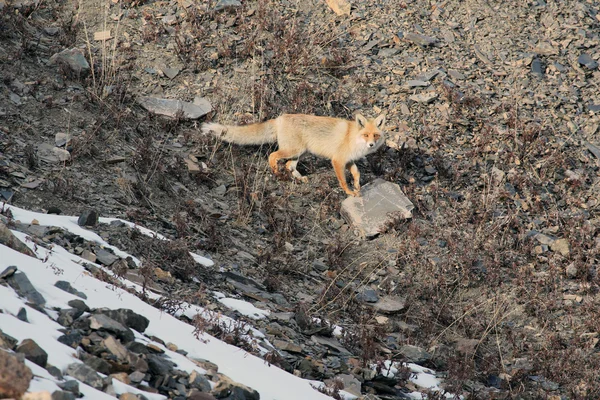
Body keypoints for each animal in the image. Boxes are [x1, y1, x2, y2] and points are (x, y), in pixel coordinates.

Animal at [202, 113, 386, 196]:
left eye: (375, 135)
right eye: (366, 135)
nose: (372, 144)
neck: (352, 137)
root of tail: (279, 118)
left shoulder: (348, 160)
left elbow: (357, 173)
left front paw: (357, 186)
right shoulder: (337, 160)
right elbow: (343, 180)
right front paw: (349, 191)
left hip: (300, 153)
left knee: (289, 166)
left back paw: (298, 178)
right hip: (293, 150)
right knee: (273, 156)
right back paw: (276, 173)